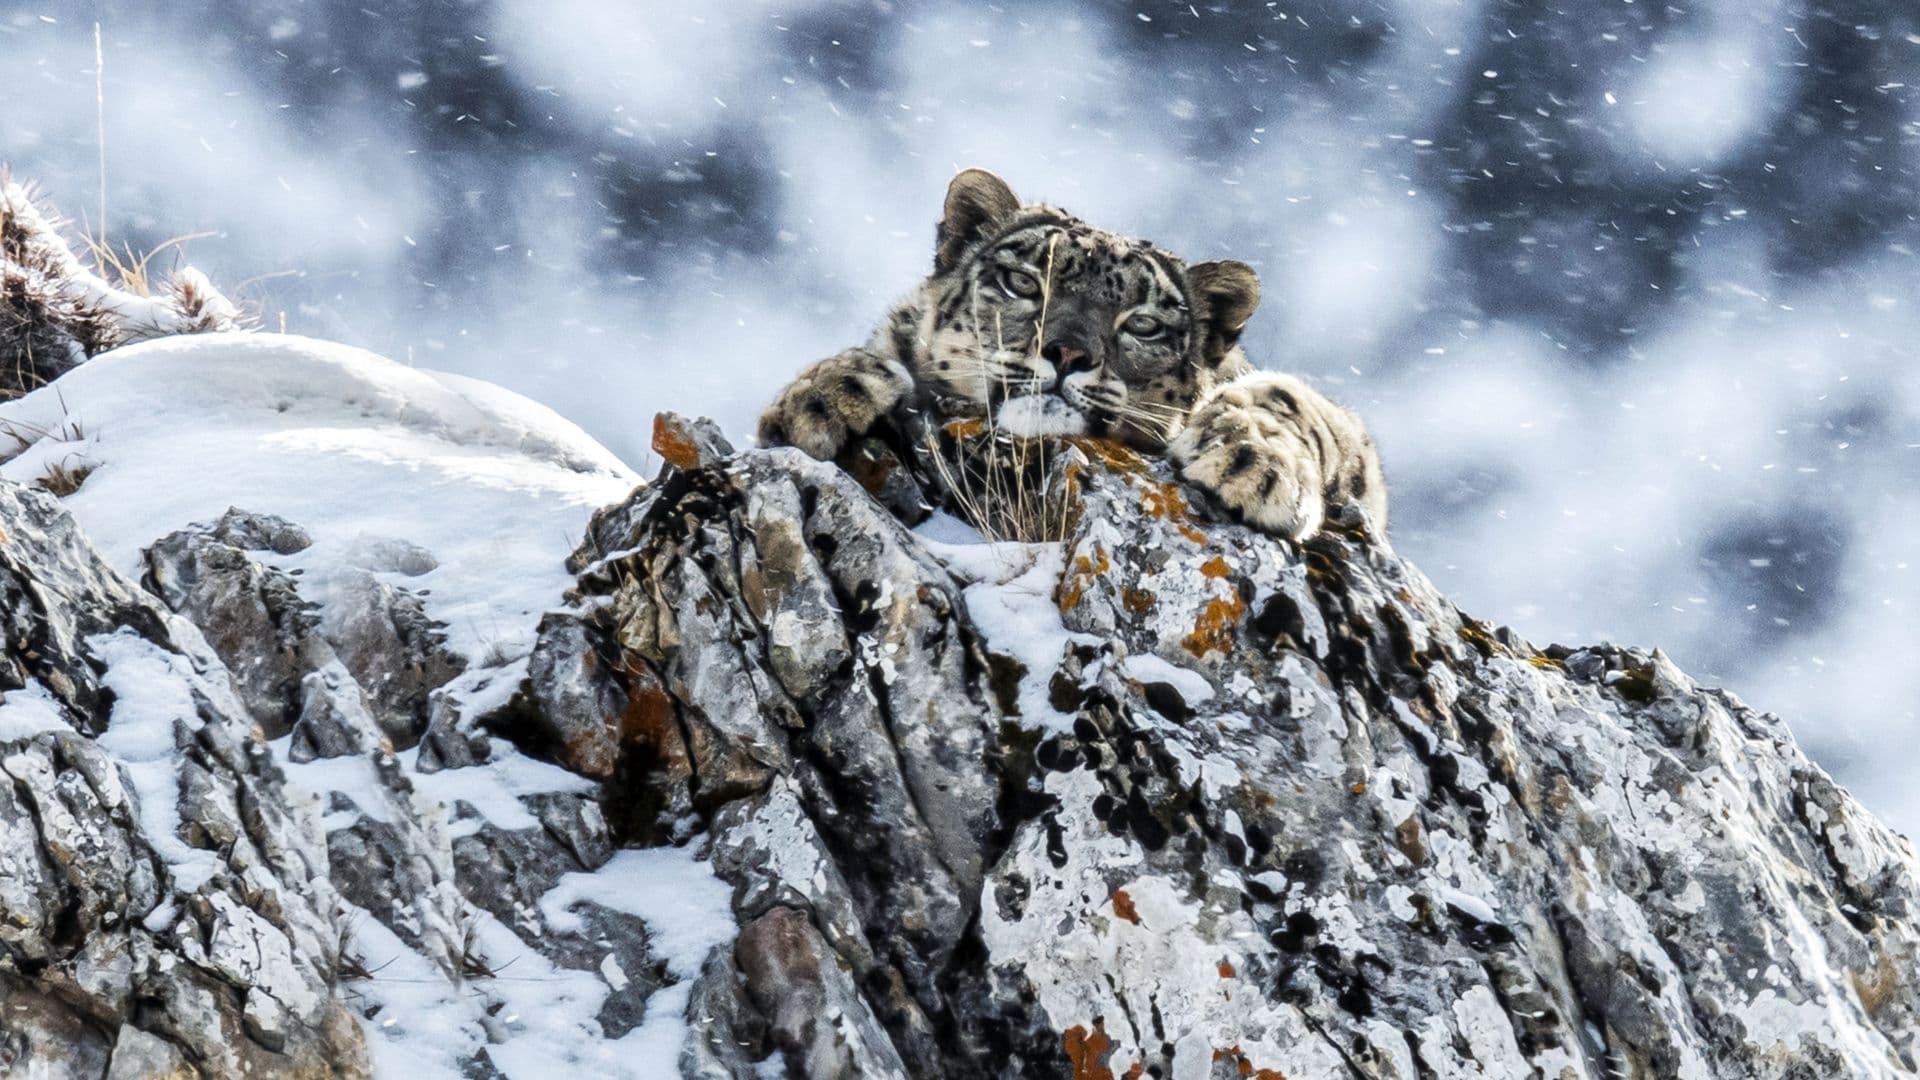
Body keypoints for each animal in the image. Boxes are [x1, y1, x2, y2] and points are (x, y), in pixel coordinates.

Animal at [756, 168, 1390, 538]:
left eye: (1144, 324)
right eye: (1022, 282)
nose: (1065, 352)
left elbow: (1289, 399)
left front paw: (1254, 465)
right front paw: (821, 396)